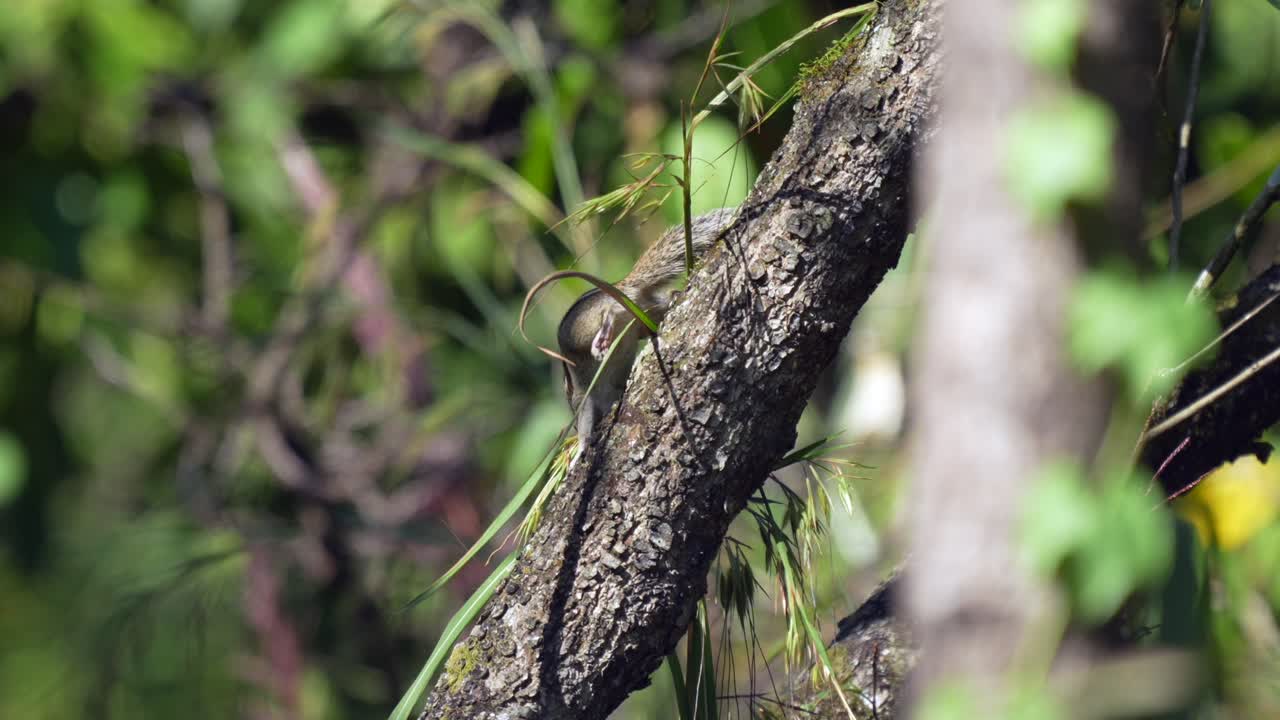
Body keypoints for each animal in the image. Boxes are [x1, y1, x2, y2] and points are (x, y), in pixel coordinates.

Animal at [557, 207, 736, 442]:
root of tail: (623, 286)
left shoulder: (584, 402)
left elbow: (586, 428)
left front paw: (582, 446)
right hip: (644, 314)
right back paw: (673, 297)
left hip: (584, 328)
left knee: (609, 312)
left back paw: (602, 338)